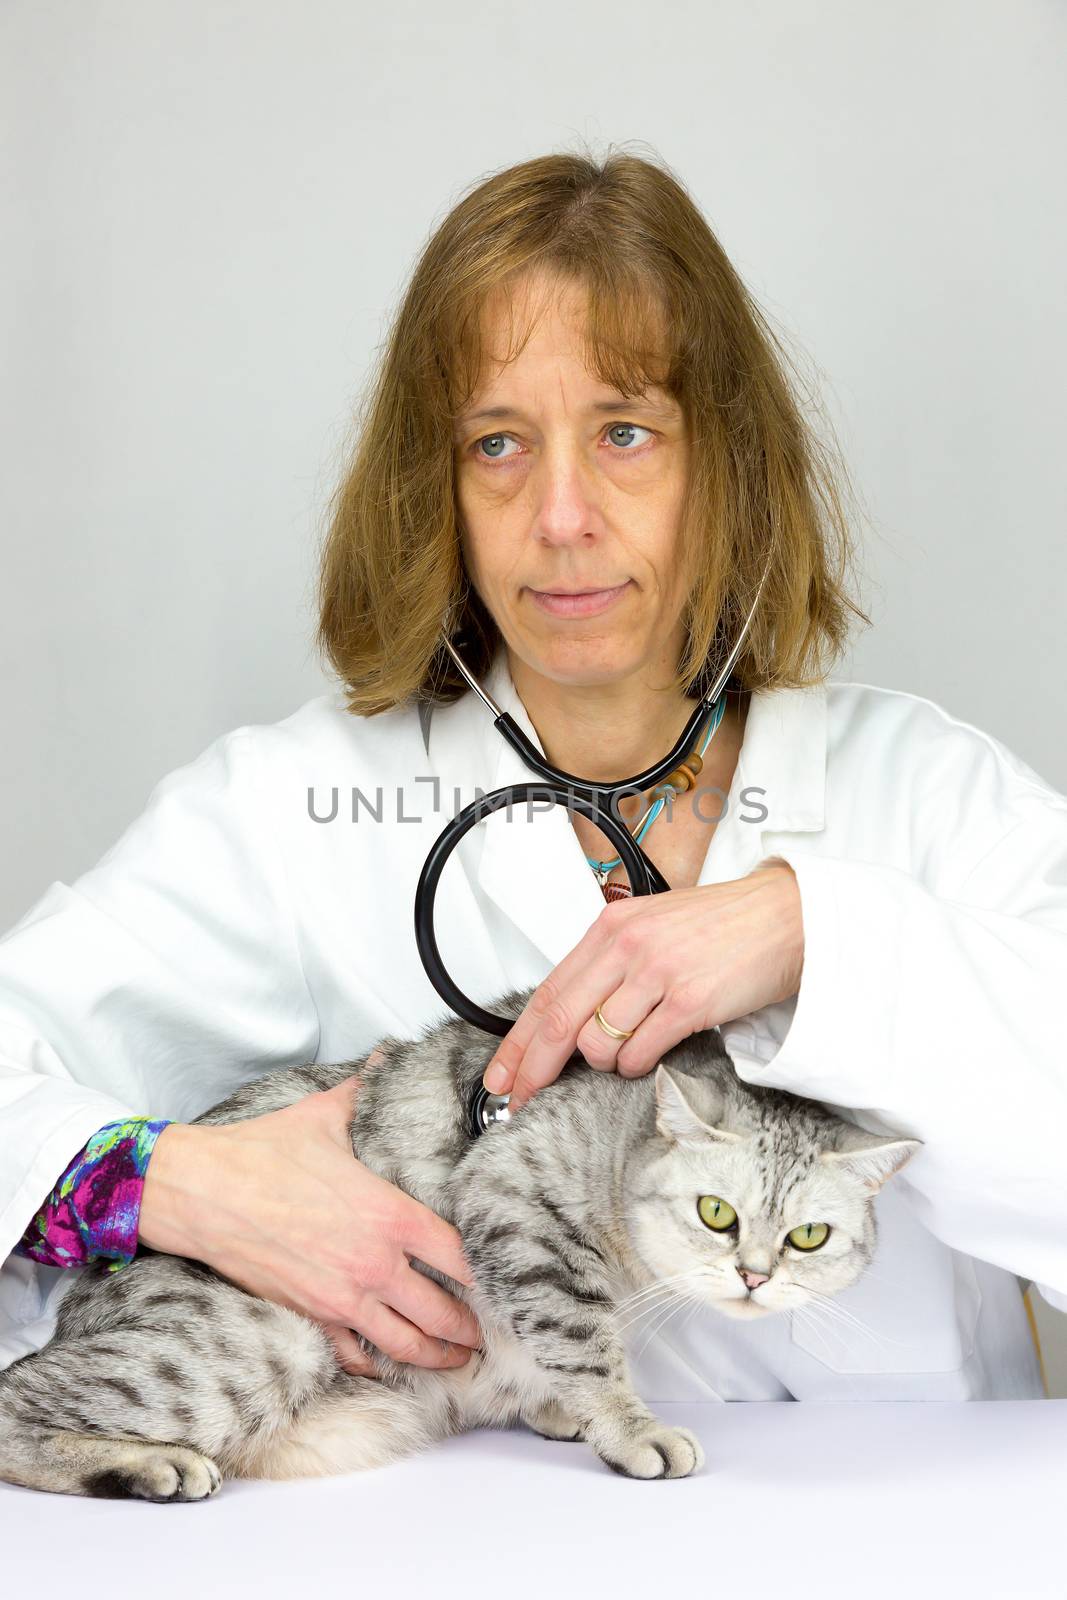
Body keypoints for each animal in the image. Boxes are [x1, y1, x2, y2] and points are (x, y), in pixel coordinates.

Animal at [0, 985, 921, 1497]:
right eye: (717, 1215)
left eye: (808, 1236)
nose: (755, 1276)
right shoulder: (518, 1209)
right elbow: (584, 1345)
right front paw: (627, 1428)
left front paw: (556, 1408)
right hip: (253, 1347)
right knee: (16, 1396)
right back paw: (148, 1466)